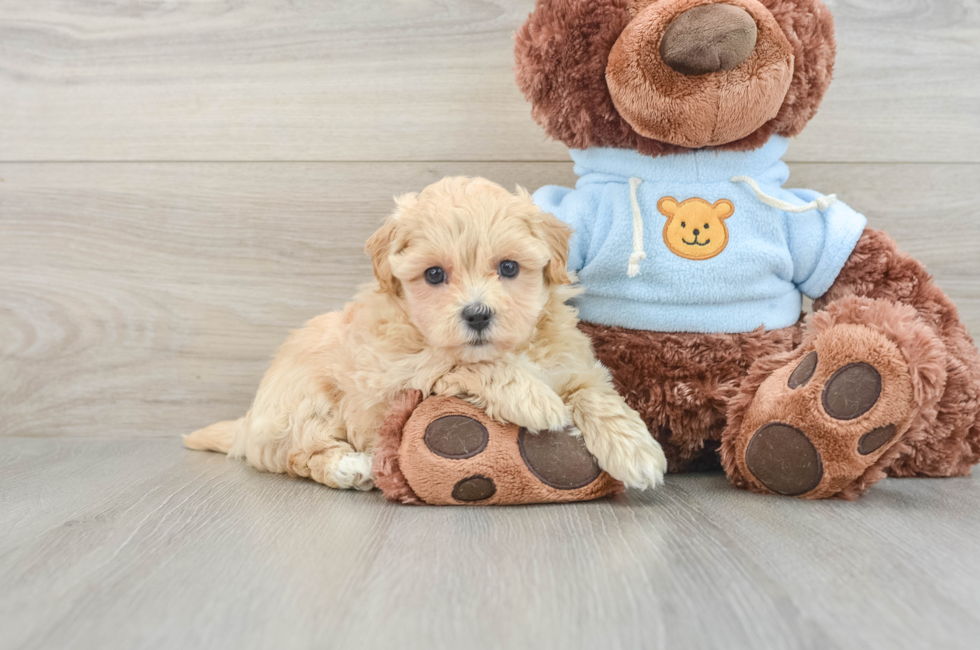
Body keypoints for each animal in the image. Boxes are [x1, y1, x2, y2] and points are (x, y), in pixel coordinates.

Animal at [186, 175, 668, 488]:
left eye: (509, 268)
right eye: (434, 274)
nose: (477, 315)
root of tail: (248, 421)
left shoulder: (572, 362)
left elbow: (594, 393)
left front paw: (636, 451)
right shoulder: (390, 378)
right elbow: (458, 362)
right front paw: (535, 400)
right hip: (301, 402)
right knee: (299, 452)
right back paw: (349, 468)